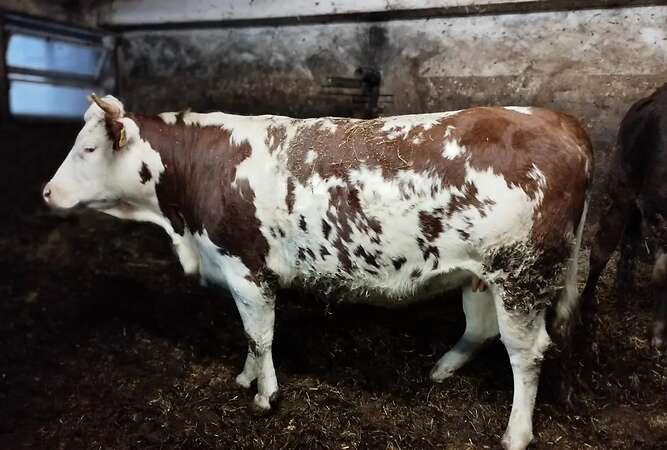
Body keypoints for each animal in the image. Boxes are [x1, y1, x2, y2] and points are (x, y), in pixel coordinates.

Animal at [43, 94, 592, 450]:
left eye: (88, 149)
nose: (48, 193)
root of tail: (559, 120)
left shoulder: (247, 269)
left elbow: (260, 336)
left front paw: (265, 396)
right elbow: (250, 338)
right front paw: (245, 378)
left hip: (521, 274)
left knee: (526, 351)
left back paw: (516, 433)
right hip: (481, 274)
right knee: (480, 329)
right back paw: (440, 370)